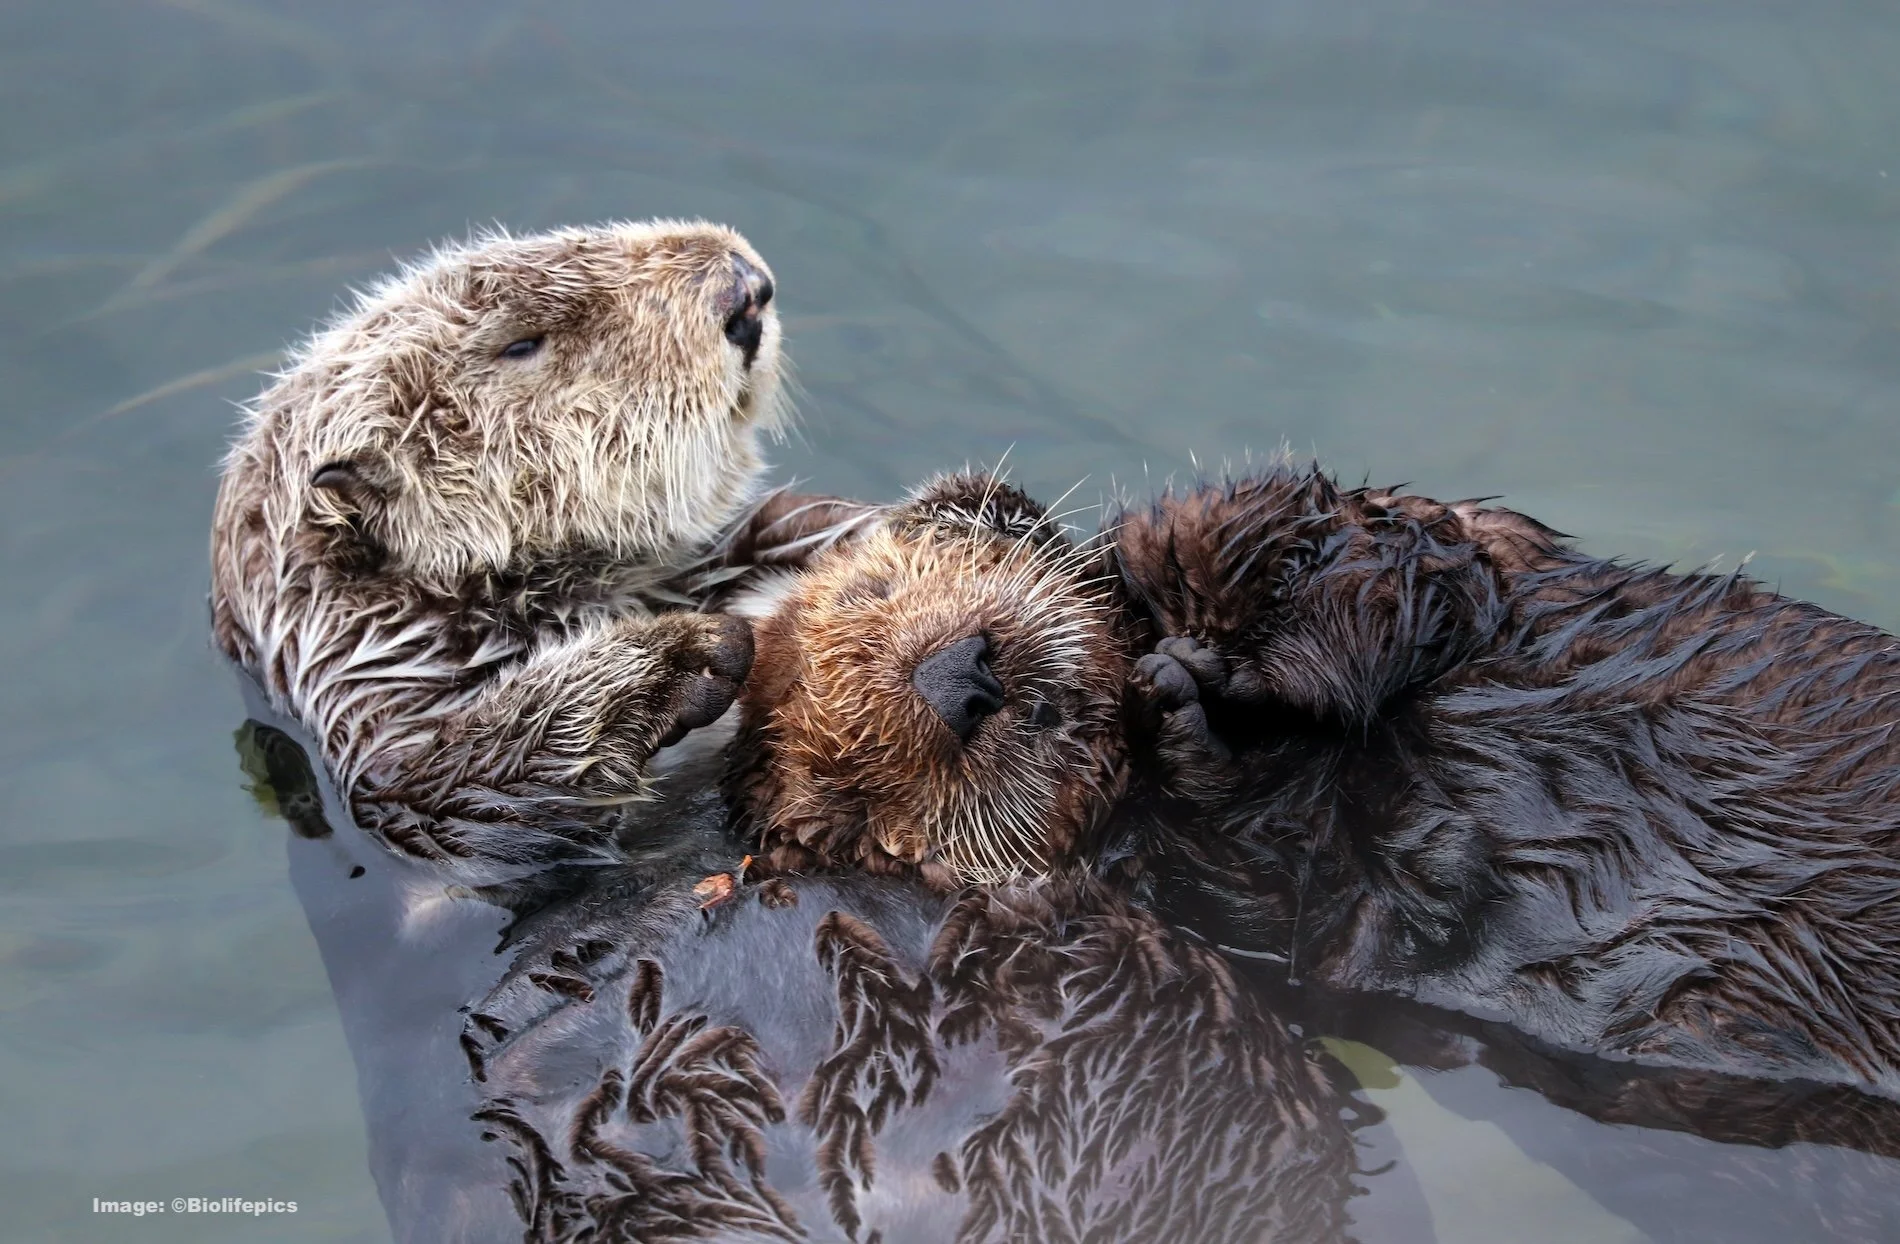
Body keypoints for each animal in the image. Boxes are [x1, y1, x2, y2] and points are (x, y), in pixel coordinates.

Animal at [210, 221, 871, 869]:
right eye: (521, 345)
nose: (745, 286)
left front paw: (868, 534)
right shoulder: (376, 743)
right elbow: (470, 787)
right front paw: (685, 654)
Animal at [725, 468, 1900, 1098]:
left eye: (876, 596)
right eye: (856, 792)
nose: (958, 678)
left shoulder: (1460, 550)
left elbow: (1351, 539)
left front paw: (1171, 637)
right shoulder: (1259, 909)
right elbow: (1281, 879)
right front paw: (1172, 709)